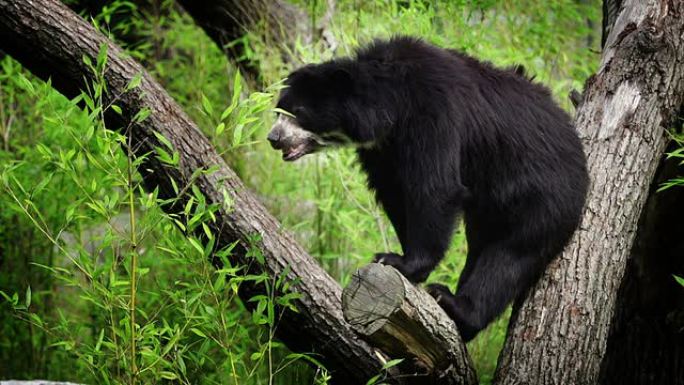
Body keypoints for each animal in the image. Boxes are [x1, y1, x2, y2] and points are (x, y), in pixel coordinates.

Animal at [268, 36, 588, 340]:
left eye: (298, 111)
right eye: (278, 111)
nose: (274, 138)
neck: (392, 109)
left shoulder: (433, 113)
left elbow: (435, 187)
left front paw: (399, 262)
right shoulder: (383, 150)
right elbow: (395, 194)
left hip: (544, 192)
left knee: (511, 253)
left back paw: (456, 305)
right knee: (482, 246)